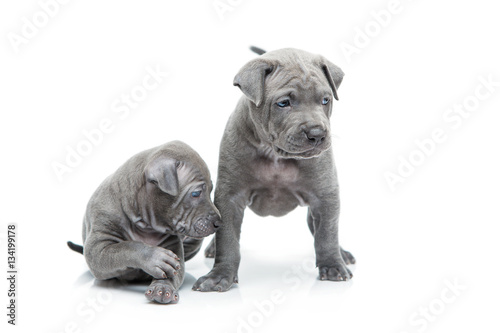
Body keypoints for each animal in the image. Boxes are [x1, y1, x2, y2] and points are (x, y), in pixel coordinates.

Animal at [67, 141, 220, 304]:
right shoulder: (98, 248)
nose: (219, 222)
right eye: (196, 193)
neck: (144, 224)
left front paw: (162, 287)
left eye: (211, 190)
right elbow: (126, 247)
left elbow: (173, 272)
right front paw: (155, 258)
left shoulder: (174, 248)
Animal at [194, 46, 356, 290]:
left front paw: (333, 265)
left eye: (325, 100)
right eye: (283, 103)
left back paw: (341, 253)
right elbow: (228, 238)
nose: (317, 134)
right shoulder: (230, 197)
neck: (277, 156)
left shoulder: (325, 195)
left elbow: (327, 233)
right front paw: (220, 275)